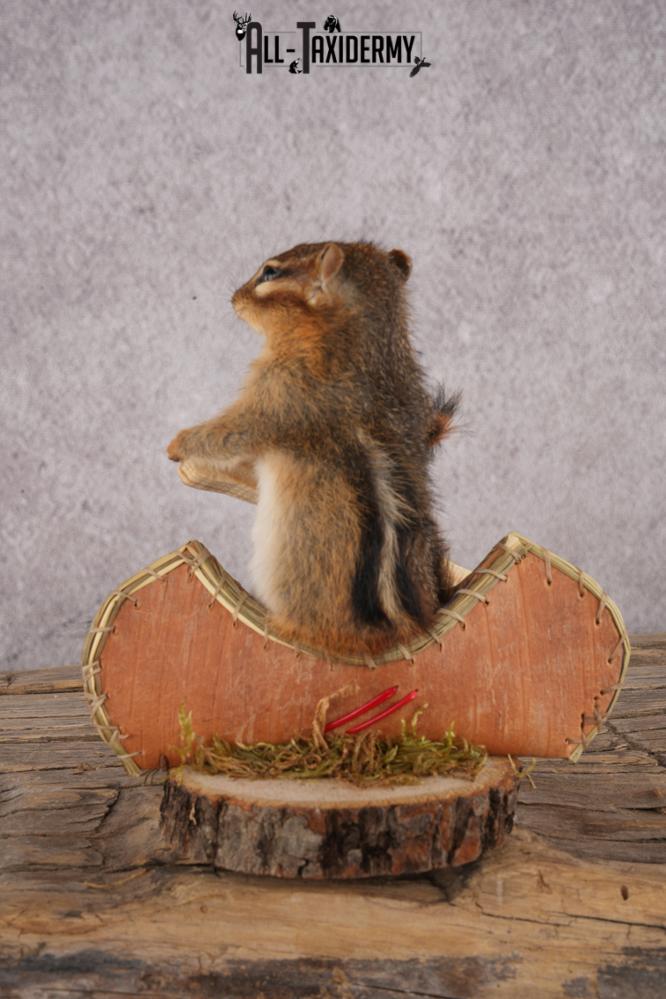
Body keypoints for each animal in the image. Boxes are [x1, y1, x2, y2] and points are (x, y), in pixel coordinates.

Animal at [167, 240, 459, 657]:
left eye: (270, 272)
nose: (234, 297)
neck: (364, 337)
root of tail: (404, 631)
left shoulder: (278, 391)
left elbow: (232, 433)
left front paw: (178, 443)